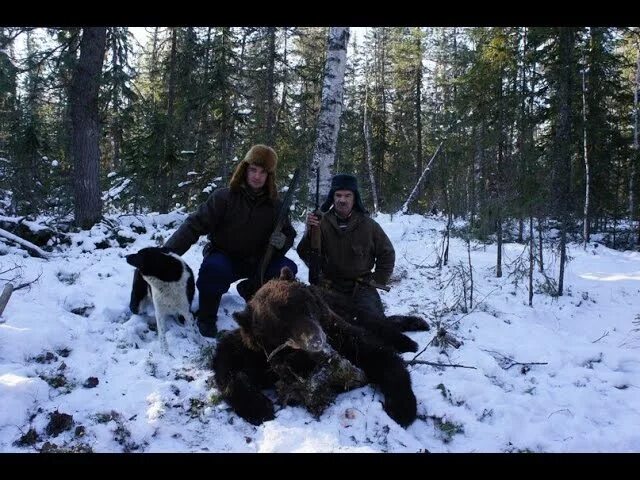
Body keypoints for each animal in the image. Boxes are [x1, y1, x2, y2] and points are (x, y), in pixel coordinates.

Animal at [212, 266, 428, 428]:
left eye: (302, 306)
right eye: (280, 327)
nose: (316, 340)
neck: (299, 357)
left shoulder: (339, 335)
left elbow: (378, 355)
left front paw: (402, 407)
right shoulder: (252, 353)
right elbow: (227, 365)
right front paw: (259, 407)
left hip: (343, 307)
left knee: (376, 323)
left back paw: (411, 335)